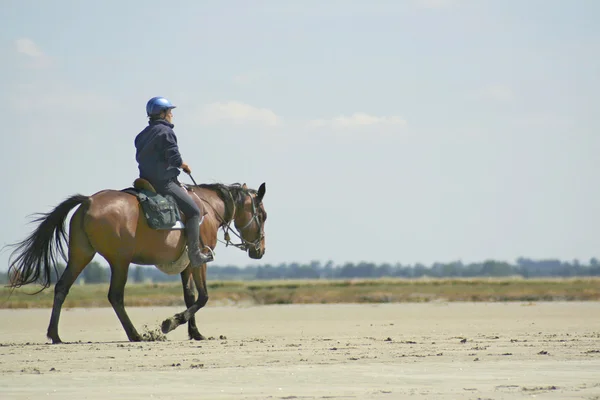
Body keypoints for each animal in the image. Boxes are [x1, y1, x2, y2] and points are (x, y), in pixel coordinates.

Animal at [4, 179, 268, 344]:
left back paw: (55, 335)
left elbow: (190, 296)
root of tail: (88, 200)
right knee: (115, 296)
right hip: (120, 261)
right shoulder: (199, 260)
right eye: (263, 215)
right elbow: (203, 297)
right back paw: (135, 335)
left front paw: (195, 333)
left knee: (62, 288)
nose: (261, 250)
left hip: (80, 255)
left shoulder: (185, 265)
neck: (208, 208)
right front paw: (171, 322)